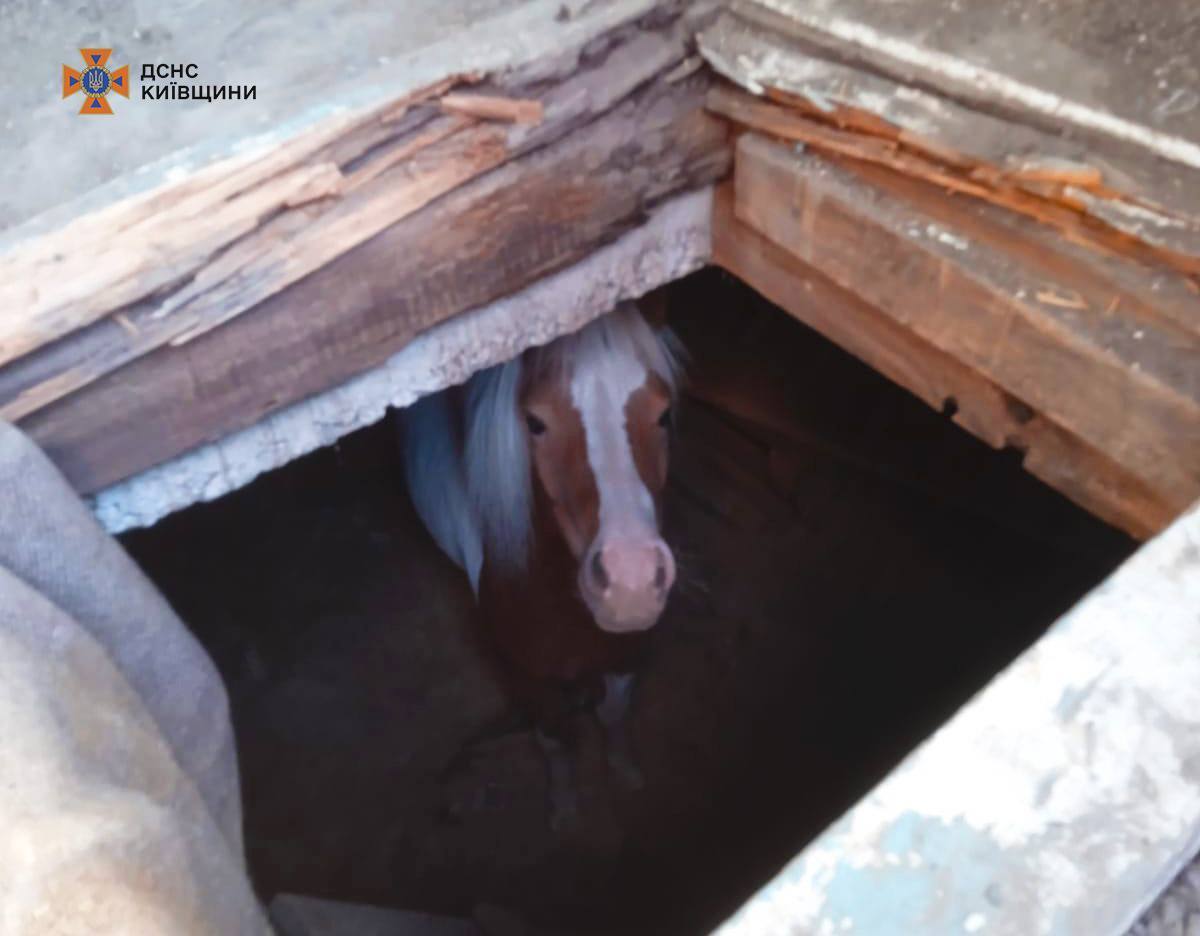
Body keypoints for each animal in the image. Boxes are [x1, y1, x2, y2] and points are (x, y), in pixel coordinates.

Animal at [405, 301, 681, 825]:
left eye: (664, 414)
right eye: (534, 423)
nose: (631, 583)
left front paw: (624, 772)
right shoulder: (527, 678)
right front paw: (565, 808)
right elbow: (554, 738)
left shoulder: (626, 652)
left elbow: (613, 715)